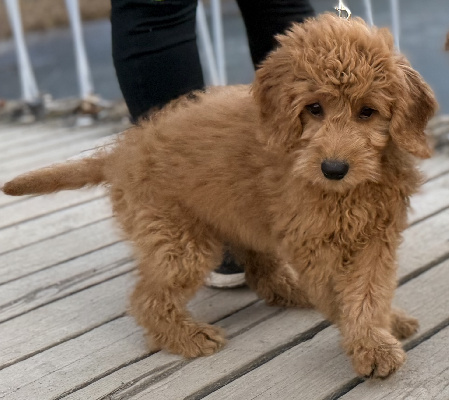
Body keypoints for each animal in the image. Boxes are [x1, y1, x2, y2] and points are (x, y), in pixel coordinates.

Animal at [2, 14, 437, 378]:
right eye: (314, 108)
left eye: (367, 112)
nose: (333, 168)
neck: (346, 192)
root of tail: (121, 152)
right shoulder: (315, 244)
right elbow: (347, 297)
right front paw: (371, 346)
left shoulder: (376, 238)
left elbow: (369, 291)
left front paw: (383, 324)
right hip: (179, 242)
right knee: (146, 297)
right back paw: (187, 337)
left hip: (237, 215)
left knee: (258, 268)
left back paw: (290, 291)